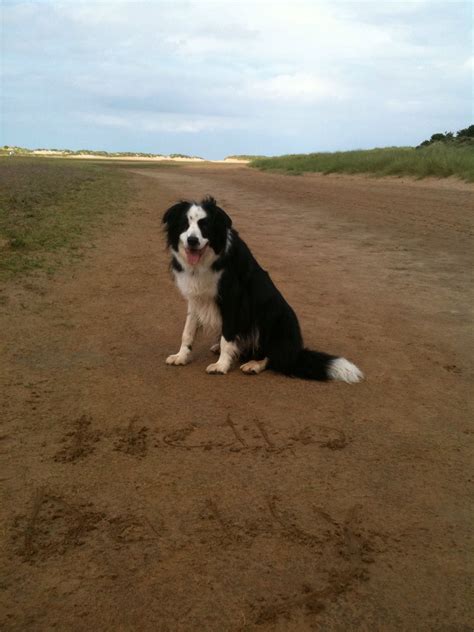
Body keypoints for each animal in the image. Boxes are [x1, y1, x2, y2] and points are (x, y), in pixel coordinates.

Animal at [163, 195, 362, 382]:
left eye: (205, 226)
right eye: (185, 224)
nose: (192, 240)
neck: (206, 261)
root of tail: (296, 351)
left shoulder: (233, 299)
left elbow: (228, 336)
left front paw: (221, 365)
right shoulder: (195, 297)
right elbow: (188, 331)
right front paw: (181, 356)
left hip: (270, 316)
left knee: (275, 357)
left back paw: (254, 364)